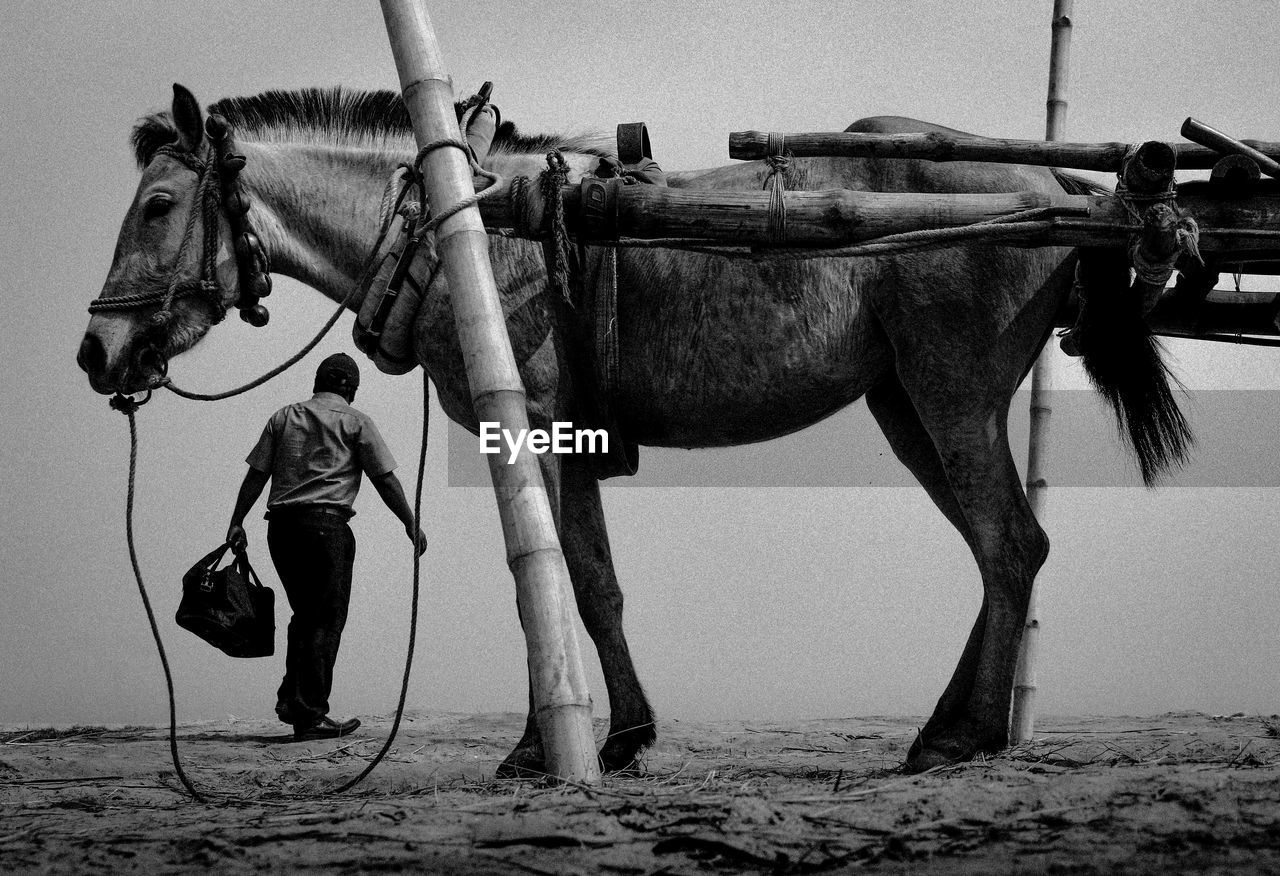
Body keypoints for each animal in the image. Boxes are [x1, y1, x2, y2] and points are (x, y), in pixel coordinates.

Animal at [74, 85, 1182, 778]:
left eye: (159, 204)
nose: (96, 352)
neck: (461, 229)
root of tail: (1063, 190)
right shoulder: (570, 443)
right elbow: (583, 583)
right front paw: (609, 736)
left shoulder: (533, 428)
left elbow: (559, 587)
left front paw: (561, 746)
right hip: (905, 404)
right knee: (1001, 553)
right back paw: (951, 724)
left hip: (949, 392)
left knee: (1010, 543)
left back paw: (961, 736)